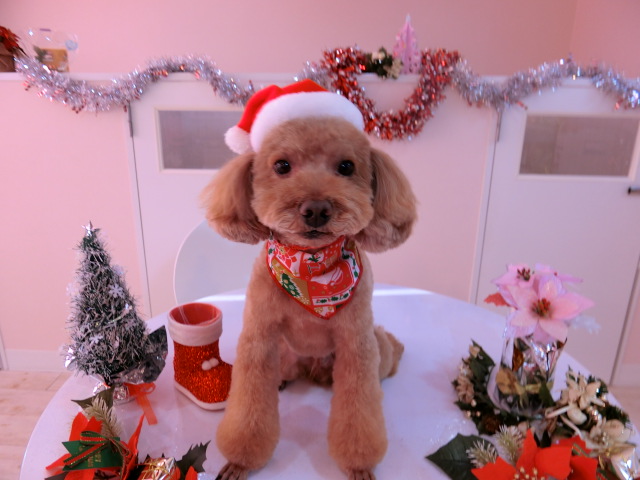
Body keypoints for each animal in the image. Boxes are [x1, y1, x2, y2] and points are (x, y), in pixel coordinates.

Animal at [201, 81, 417, 480]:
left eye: (346, 167)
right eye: (281, 166)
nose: (316, 209)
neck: (309, 271)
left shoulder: (356, 344)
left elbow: (359, 415)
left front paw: (359, 464)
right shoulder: (259, 338)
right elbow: (249, 409)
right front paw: (240, 459)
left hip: (375, 347)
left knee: (386, 358)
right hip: (284, 352)